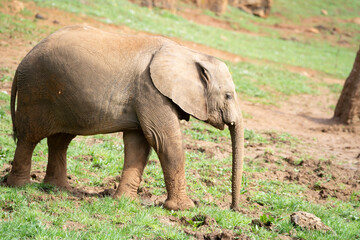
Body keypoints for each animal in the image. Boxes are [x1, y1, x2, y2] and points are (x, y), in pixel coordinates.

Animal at [7, 25, 245, 211]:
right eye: (228, 95)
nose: (233, 209)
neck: (188, 53)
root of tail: (23, 60)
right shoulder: (151, 91)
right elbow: (164, 140)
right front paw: (184, 209)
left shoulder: (144, 95)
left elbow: (139, 144)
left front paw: (123, 201)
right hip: (37, 90)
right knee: (29, 137)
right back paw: (19, 187)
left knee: (60, 140)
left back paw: (58, 189)